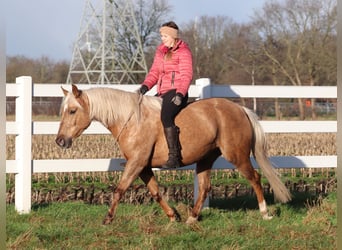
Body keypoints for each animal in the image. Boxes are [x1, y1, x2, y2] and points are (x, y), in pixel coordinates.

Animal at [56, 84, 292, 225]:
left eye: (73, 111)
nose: (60, 141)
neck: (132, 120)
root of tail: (241, 110)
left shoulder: (136, 163)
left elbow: (119, 189)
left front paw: (107, 219)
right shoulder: (143, 166)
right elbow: (156, 192)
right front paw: (173, 216)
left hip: (238, 156)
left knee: (255, 178)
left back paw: (265, 213)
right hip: (205, 159)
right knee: (204, 187)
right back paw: (192, 218)